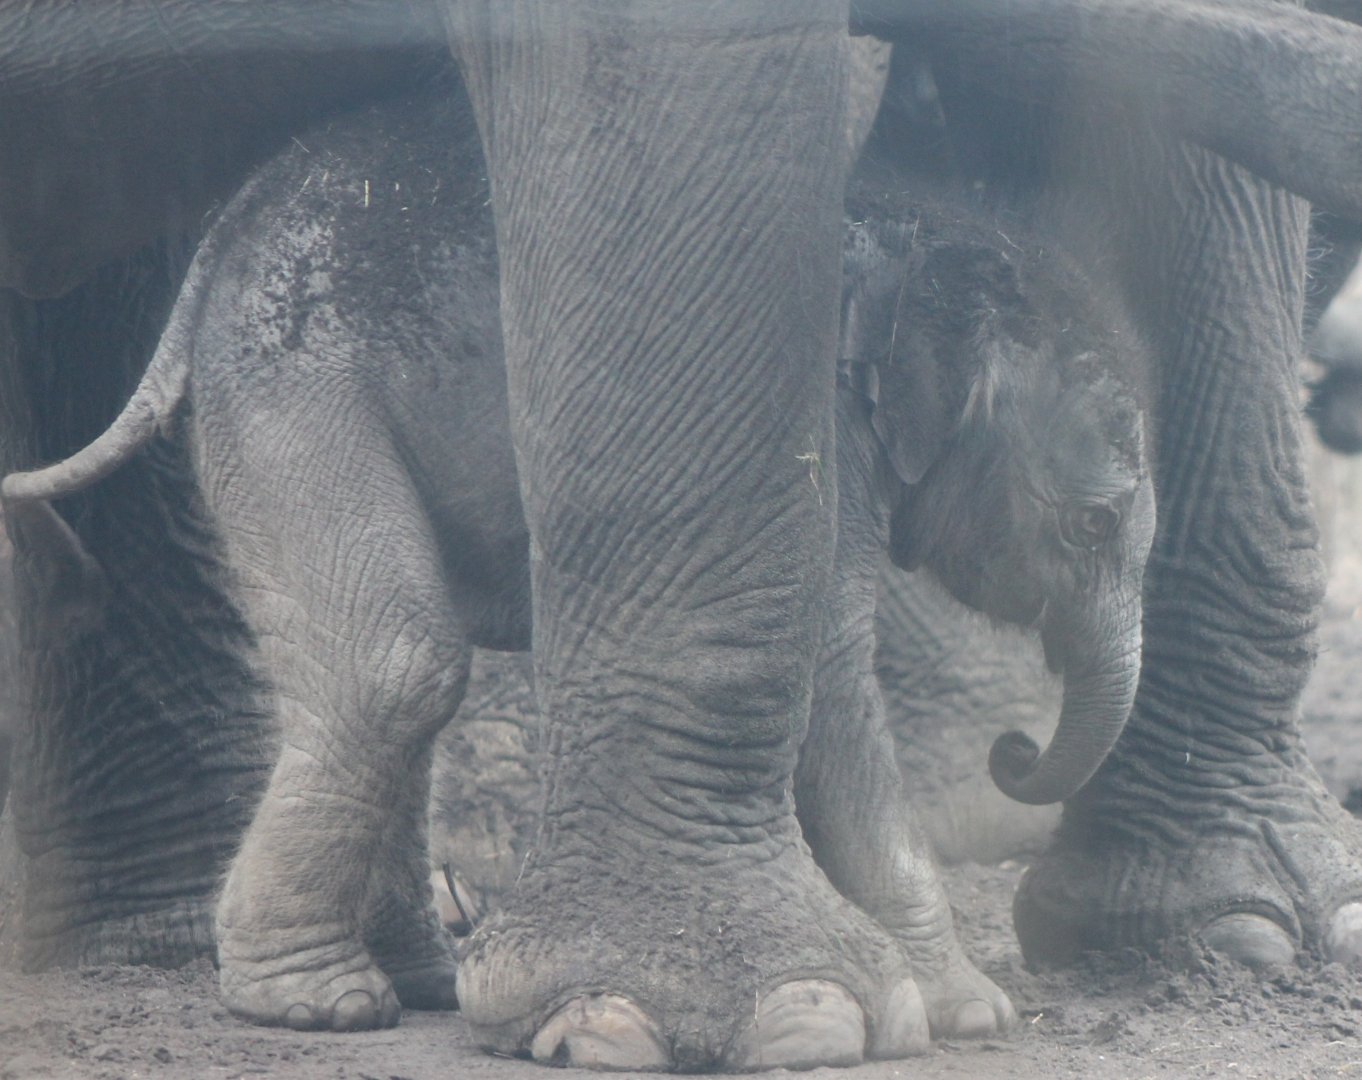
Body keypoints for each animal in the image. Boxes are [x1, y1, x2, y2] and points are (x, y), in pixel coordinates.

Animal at [6, 1, 1362, 1071]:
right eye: (1090, 525)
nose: (1015, 752)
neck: (931, 248)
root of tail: (228, 245)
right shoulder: (834, 423)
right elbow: (835, 670)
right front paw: (955, 1015)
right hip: (294, 383)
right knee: (394, 660)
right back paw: (319, 1004)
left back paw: (414, 983)